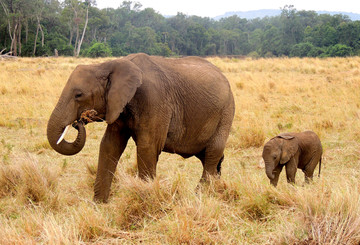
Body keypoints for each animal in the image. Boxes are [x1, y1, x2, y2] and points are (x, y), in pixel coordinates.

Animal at [46, 52, 235, 202]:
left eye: (79, 95)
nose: (79, 121)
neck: (110, 65)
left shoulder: (154, 100)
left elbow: (147, 147)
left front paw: (145, 199)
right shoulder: (118, 106)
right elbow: (109, 145)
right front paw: (98, 205)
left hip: (226, 112)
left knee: (212, 153)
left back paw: (200, 196)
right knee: (211, 158)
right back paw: (217, 191)